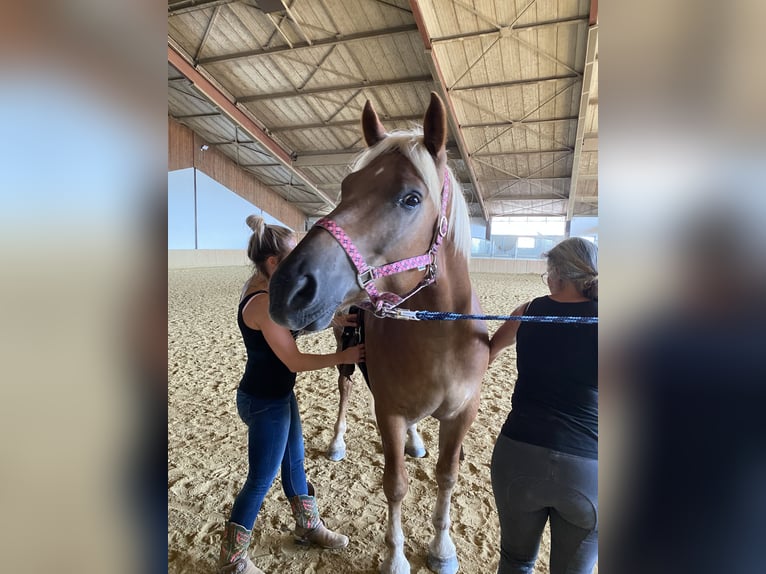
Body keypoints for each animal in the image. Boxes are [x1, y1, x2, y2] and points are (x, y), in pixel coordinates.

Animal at [270, 92, 488, 572]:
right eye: (346, 188)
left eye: (411, 198)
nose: (289, 286)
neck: (441, 340)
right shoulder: (387, 410)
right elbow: (396, 485)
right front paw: (396, 557)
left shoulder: (462, 414)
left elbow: (448, 475)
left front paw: (442, 548)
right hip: (348, 359)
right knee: (345, 390)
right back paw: (338, 442)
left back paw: (416, 441)